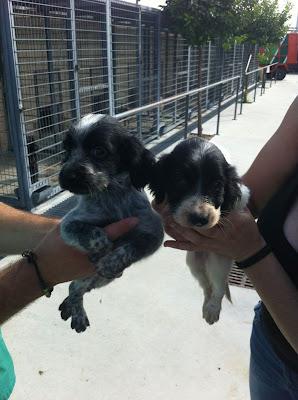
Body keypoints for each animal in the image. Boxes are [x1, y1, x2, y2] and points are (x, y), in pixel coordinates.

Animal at [57, 114, 165, 332]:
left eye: (99, 151)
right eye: (68, 150)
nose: (66, 177)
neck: (112, 195)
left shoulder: (154, 231)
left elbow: (134, 246)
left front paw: (110, 261)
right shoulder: (68, 224)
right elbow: (88, 231)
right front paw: (103, 246)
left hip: (103, 279)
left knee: (80, 287)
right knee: (74, 287)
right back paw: (76, 312)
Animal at [149, 138, 249, 324]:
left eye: (217, 185)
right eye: (180, 180)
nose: (199, 219)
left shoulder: (243, 194)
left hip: (218, 263)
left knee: (218, 287)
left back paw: (212, 309)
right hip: (194, 262)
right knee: (206, 286)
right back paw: (206, 306)